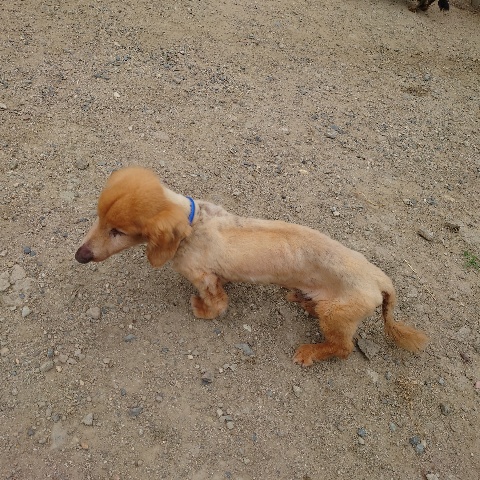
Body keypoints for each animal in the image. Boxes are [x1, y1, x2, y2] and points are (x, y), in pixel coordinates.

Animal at [75, 167, 428, 366]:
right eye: (99, 218)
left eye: (118, 231)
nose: (80, 255)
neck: (193, 223)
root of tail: (381, 279)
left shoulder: (201, 276)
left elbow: (217, 304)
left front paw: (202, 309)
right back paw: (302, 301)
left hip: (337, 315)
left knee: (342, 348)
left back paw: (311, 352)